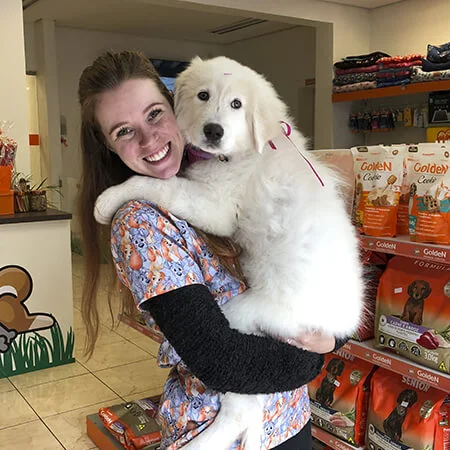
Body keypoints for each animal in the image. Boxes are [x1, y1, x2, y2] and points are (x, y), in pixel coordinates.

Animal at [94, 56, 362, 450]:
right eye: (203, 95)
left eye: (237, 105)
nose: (213, 131)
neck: (239, 153)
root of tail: (342, 320)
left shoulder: (218, 205)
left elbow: (160, 184)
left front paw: (108, 199)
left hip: (243, 320)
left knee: (239, 410)